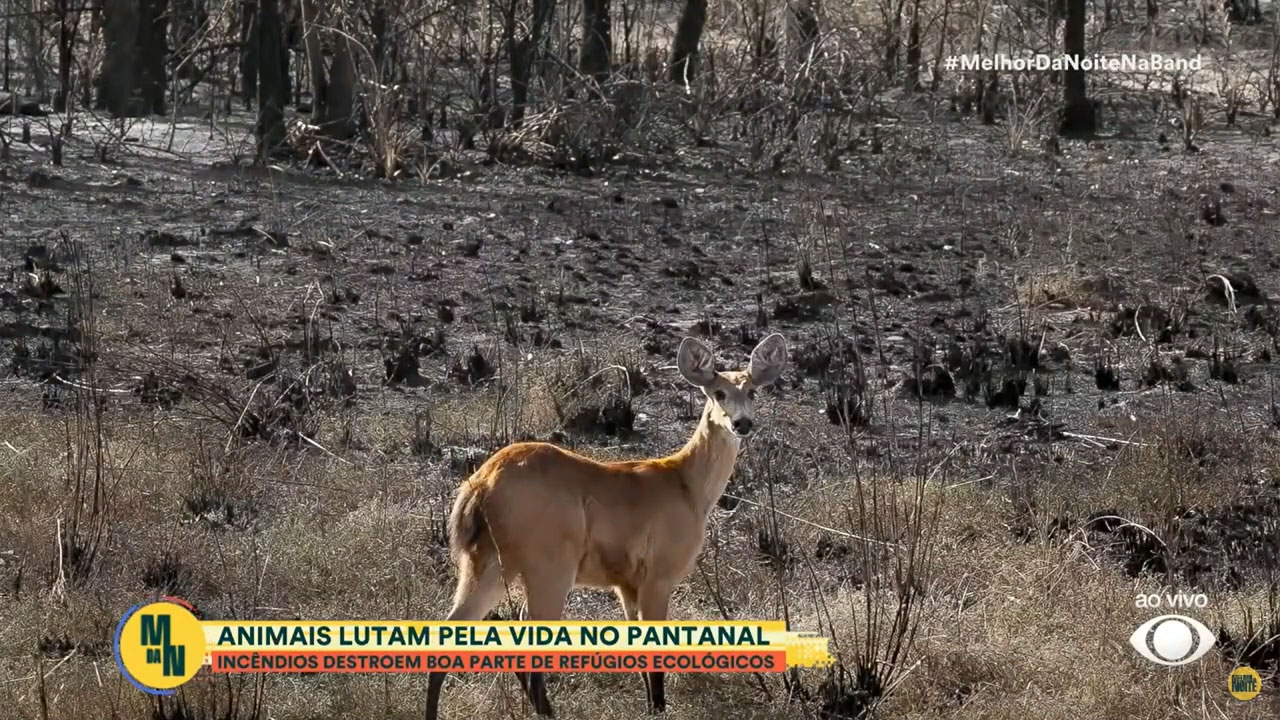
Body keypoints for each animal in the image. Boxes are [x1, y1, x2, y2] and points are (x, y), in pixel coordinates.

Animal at [427, 333, 788, 717]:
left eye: (752, 391)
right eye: (718, 392)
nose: (742, 423)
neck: (688, 486)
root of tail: (479, 483)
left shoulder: (626, 584)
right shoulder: (659, 574)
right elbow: (656, 658)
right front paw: (658, 708)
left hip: (488, 562)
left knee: (452, 629)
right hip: (550, 563)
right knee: (526, 638)